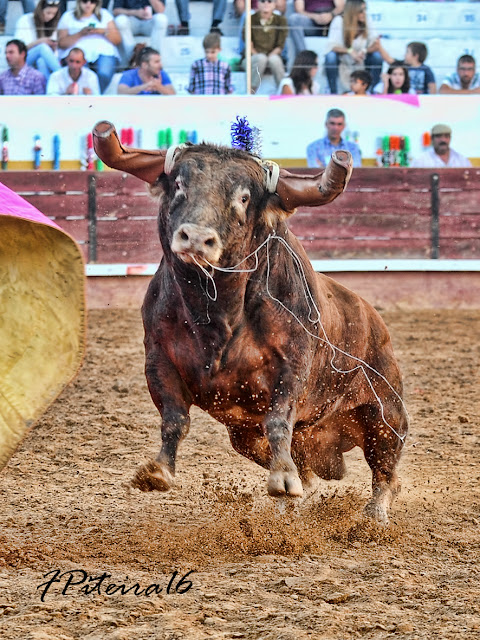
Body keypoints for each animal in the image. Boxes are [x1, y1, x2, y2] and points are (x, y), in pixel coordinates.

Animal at [92, 121, 406, 524]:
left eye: (243, 198)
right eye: (179, 184)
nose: (196, 238)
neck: (215, 312)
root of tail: (375, 321)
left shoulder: (292, 367)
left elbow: (278, 420)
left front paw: (283, 479)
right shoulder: (158, 357)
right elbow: (174, 418)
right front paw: (158, 471)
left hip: (386, 417)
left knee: (385, 473)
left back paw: (373, 517)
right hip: (245, 436)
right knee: (307, 469)